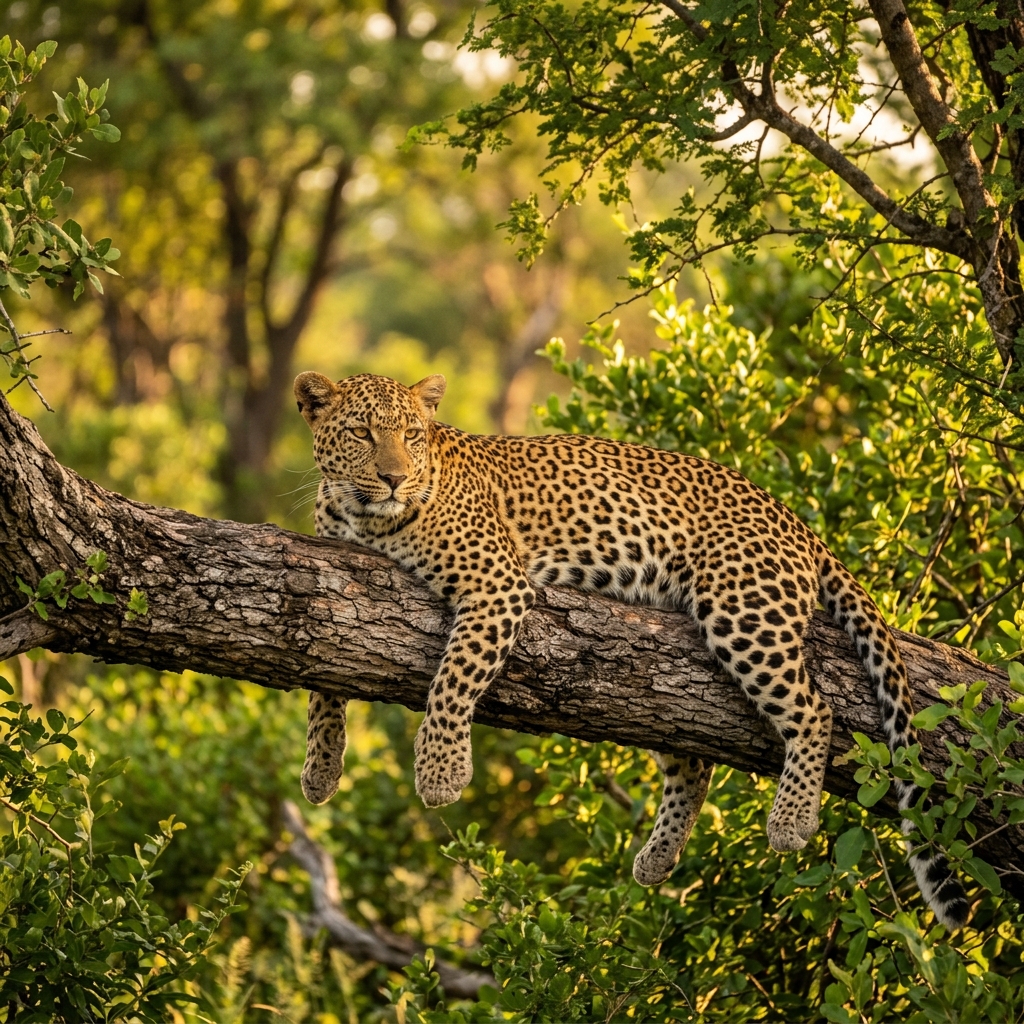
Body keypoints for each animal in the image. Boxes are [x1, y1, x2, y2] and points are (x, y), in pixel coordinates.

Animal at [293, 369, 970, 930]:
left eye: (411, 435)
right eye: (361, 432)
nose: (394, 477)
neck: (362, 517)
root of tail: (795, 518)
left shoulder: (497, 583)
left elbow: (453, 678)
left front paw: (440, 772)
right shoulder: (334, 574)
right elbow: (324, 683)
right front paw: (322, 770)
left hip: (743, 609)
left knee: (814, 711)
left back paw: (791, 821)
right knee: (693, 763)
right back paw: (657, 859)